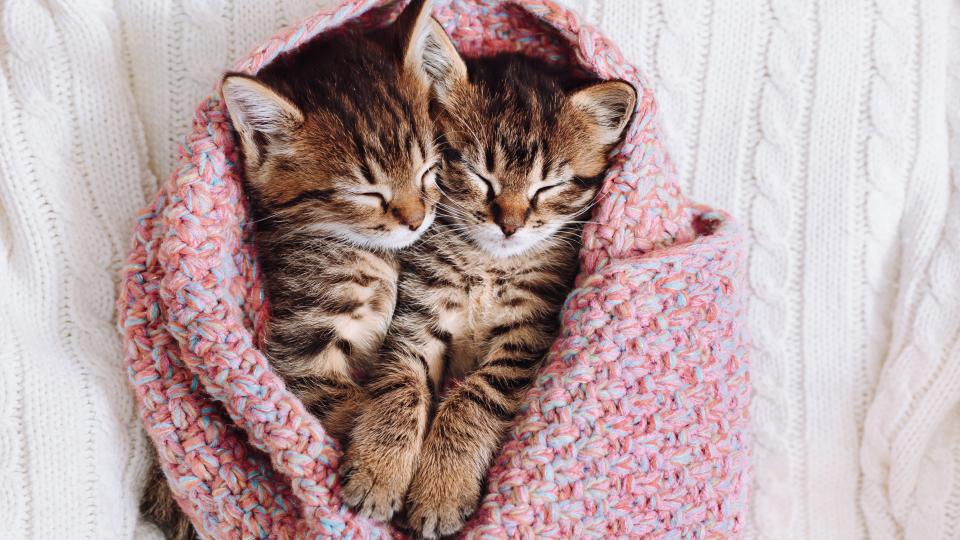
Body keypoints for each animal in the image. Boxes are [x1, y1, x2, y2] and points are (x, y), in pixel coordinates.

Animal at [142, 2, 454, 536]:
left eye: (428, 169)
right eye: (366, 192)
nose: (417, 219)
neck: (375, 256)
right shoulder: (300, 362)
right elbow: (365, 402)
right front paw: (386, 475)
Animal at [338, 48, 636, 536]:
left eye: (548, 186)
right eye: (480, 176)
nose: (510, 225)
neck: (488, 265)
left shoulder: (526, 336)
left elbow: (474, 396)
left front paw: (442, 489)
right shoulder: (417, 317)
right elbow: (402, 385)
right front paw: (378, 472)